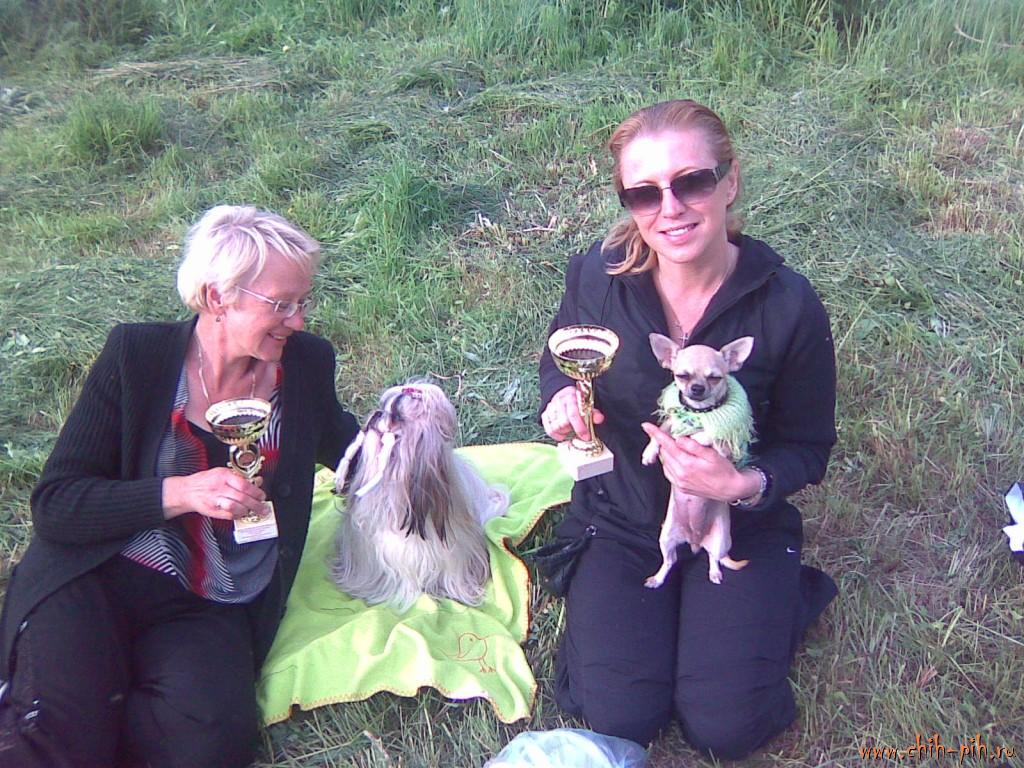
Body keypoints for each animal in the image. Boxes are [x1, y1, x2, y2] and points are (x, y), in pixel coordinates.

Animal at [641, 335, 755, 586]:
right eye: (682, 376)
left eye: (715, 377)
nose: (697, 388)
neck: (698, 413)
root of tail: (695, 540)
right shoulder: (671, 422)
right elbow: (661, 429)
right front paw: (649, 452)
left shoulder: (724, 449)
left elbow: (709, 435)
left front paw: (696, 435)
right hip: (666, 537)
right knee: (670, 561)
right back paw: (658, 579)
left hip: (721, 539)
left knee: (714, 558)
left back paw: (715, 573)